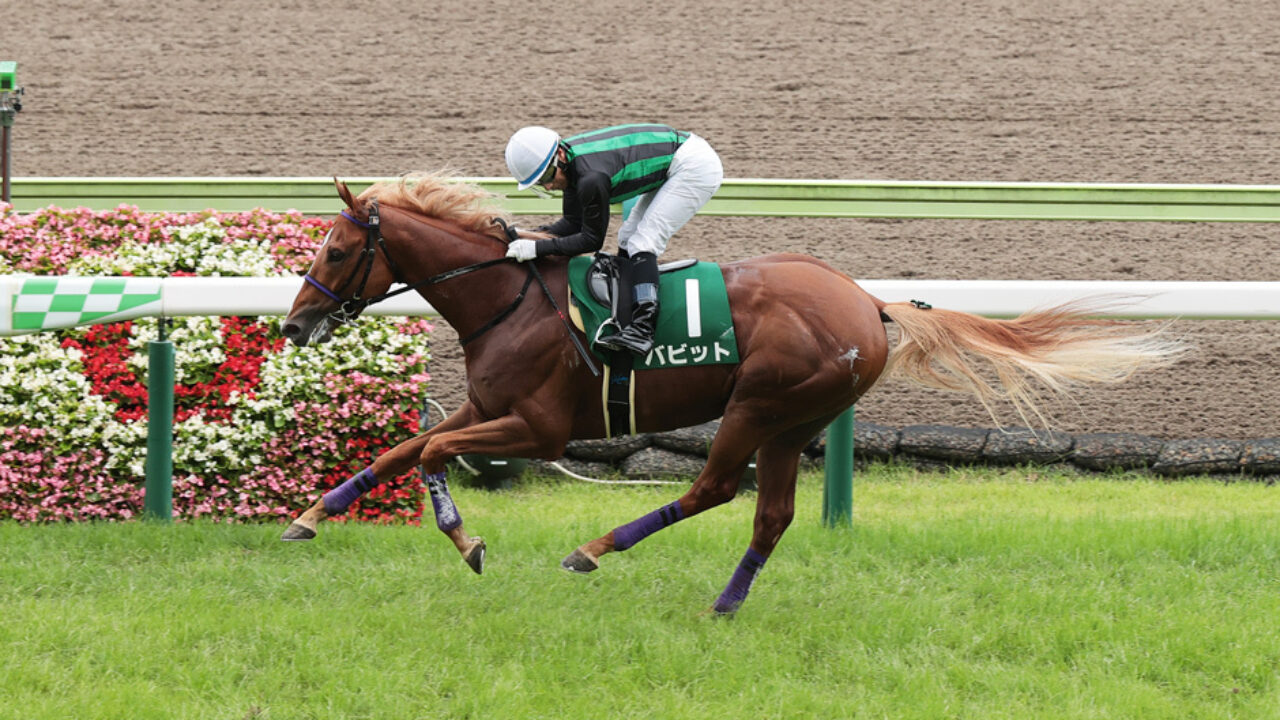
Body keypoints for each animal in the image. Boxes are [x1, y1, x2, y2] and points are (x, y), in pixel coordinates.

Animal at [279, 173, 1182, 615]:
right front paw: (310, 516)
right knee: (769, 513)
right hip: (794, 418)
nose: (292, 325)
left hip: (761, 403)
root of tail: (870, 304)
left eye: (334, 252)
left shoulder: (537, 427)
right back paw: (725, 602)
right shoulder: (486, 407)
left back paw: (594, 549)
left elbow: (431, 449)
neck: (508, 296)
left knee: (716, 486)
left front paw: (466, 541)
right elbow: (402, 448)